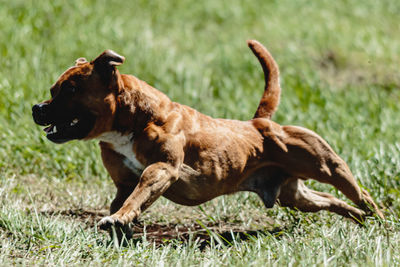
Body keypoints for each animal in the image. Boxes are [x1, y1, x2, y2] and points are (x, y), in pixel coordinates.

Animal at [32, 39, 382, 237]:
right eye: (52, 89)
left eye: (71, 90)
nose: (37, 108)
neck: (132, 120)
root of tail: (260, 124)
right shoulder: (125, 181)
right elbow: (126, 199)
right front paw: (121, 225)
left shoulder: (161, 170)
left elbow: (138, 195)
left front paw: (119, 219)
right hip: (295, 197)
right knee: (332, 201)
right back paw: (360, 218)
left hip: (326, 166)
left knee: (357, 191)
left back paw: (377, 216)